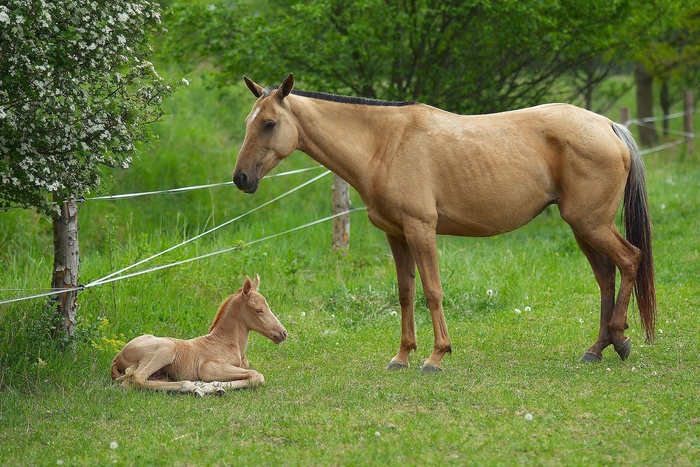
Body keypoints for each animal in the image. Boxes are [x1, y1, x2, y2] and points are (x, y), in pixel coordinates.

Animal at [110, 276, 286, 396]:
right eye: (258, 310)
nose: (283, 333)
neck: (228, 343)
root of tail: (117, 357)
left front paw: (216, 386)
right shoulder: (208, 367)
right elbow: (257, 376)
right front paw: (212, 385)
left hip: (162, 373)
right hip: (167, 348)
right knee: (135, 380)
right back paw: (194, 387)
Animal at [234, 74, 656, 372]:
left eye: (269, 123)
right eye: (248, 122)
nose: (241, 179)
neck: (385, 143)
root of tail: (608, 126)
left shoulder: (421, 229)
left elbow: (433, 291)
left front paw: (436, 357)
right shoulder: (396, 235)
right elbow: (405, 293)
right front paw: (402, 356)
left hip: (591, 225)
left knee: (630, 260)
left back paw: (620, 339)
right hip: (583, 227)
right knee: (606, 276)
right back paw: (596, 349)